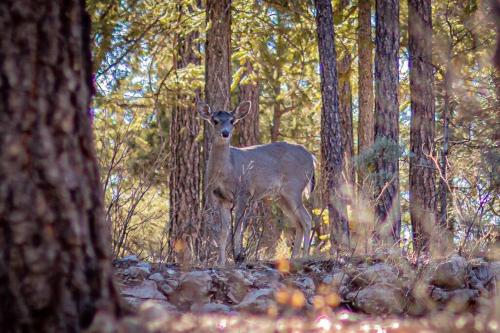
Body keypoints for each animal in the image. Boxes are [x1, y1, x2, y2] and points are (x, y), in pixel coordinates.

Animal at [197, 100, 314, 266]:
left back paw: (304, 256)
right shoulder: (219, 198)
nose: (225, 133)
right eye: (215, 120)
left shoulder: (244, 192)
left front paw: (238, 256)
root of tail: (312, 158)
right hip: (282, 197)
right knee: (298, 222)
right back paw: (293, 258)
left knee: (307, 219)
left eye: (232, 121)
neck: (227, 170)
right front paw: (221, 262)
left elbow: (238, 228)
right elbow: (223, 232)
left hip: (294, 187)